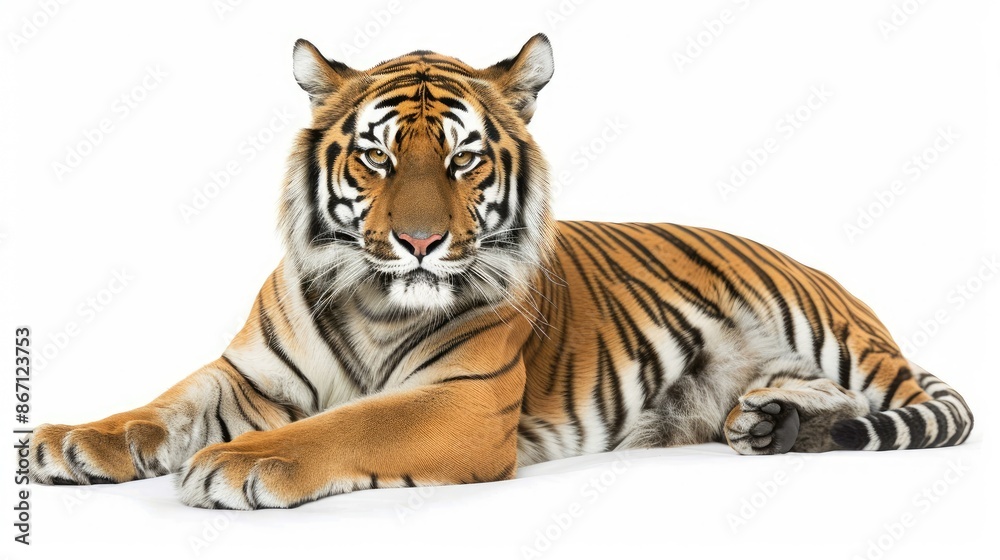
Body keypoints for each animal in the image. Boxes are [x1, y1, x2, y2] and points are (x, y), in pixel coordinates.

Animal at [29, 34, 973, 510]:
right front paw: (71, 441)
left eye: (463, 160)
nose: (417, 242)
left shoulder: (463, 399)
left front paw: (237, 463)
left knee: (898, 401)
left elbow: (348, 424)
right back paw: (769, 419)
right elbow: (162, 406)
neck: (374, 302)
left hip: (837, 335)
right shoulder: (245, 375)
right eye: (376, 157)